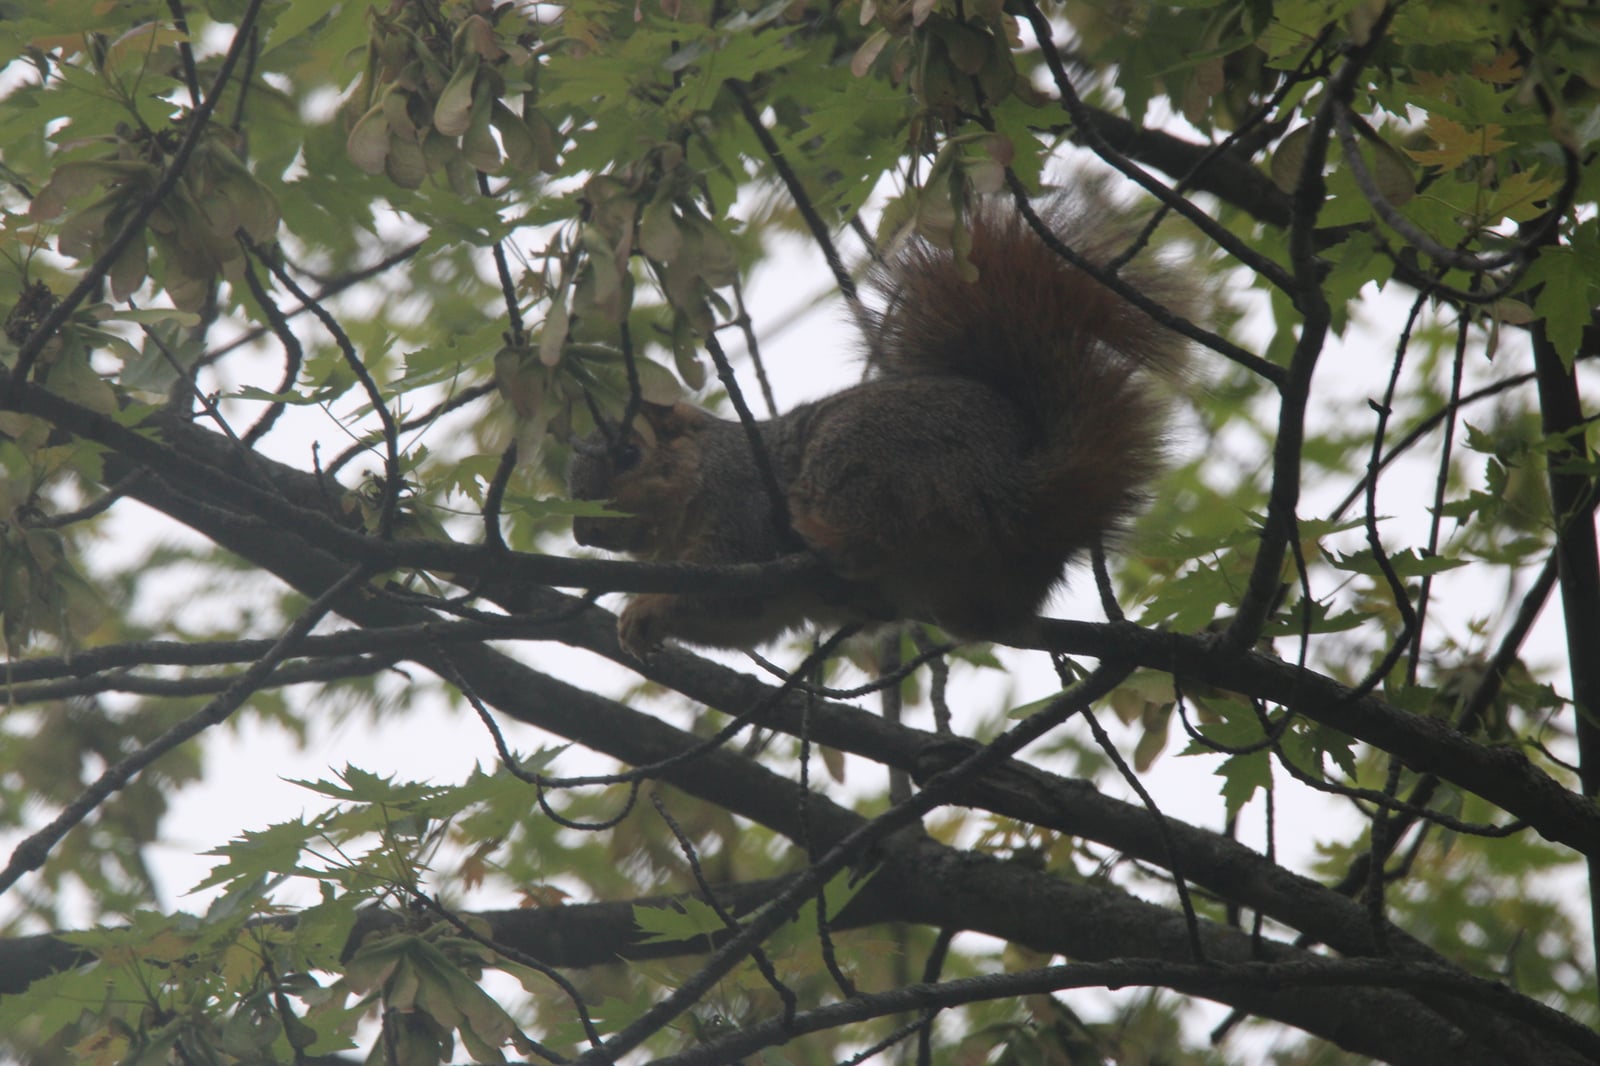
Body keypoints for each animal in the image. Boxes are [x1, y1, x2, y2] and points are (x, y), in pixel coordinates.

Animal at [567, 199, 1192, 659]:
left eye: (629, 454)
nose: (582, 532)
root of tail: (1017, 487)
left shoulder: (741, 509)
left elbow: (729, 581)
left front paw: (645, 607)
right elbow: (742, 619)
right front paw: (639, 626)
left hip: (859, 456)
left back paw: (833, 545)